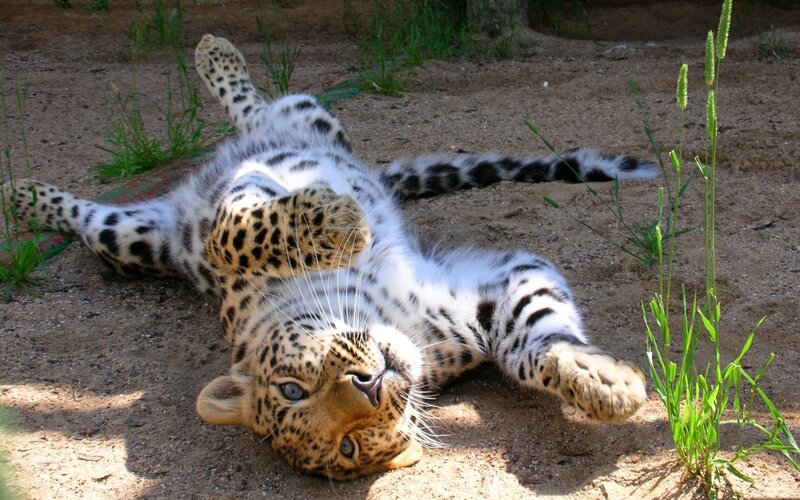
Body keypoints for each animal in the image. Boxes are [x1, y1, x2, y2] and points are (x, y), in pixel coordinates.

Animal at [1, 34, 655, 480]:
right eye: (347, 444)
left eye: (291, 388)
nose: (368, 385)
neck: (393, 317)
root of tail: (178, 202)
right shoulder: (490, 290)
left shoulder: (489, 294)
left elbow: (235, 230)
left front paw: (603, 382)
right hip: (131, 239)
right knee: (88, 220)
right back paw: (24, 195)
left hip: (306, 119)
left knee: (258, 108)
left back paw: (216, 55)